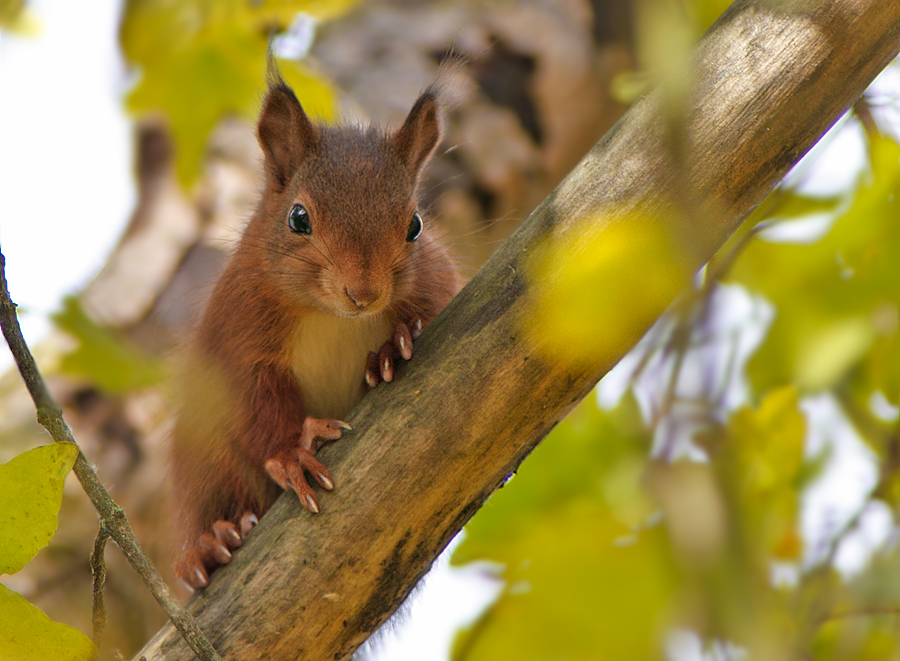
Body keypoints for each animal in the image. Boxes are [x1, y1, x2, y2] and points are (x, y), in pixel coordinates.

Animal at [171, 71, 464, 588]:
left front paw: (393, 347)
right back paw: (209, 544)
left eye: (415, 224)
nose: (364, 294)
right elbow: (255, 406)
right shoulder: (238, 334)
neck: (333, 318)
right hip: (204, 452)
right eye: (298, 218)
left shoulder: (438, 279)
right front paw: (291, 453)